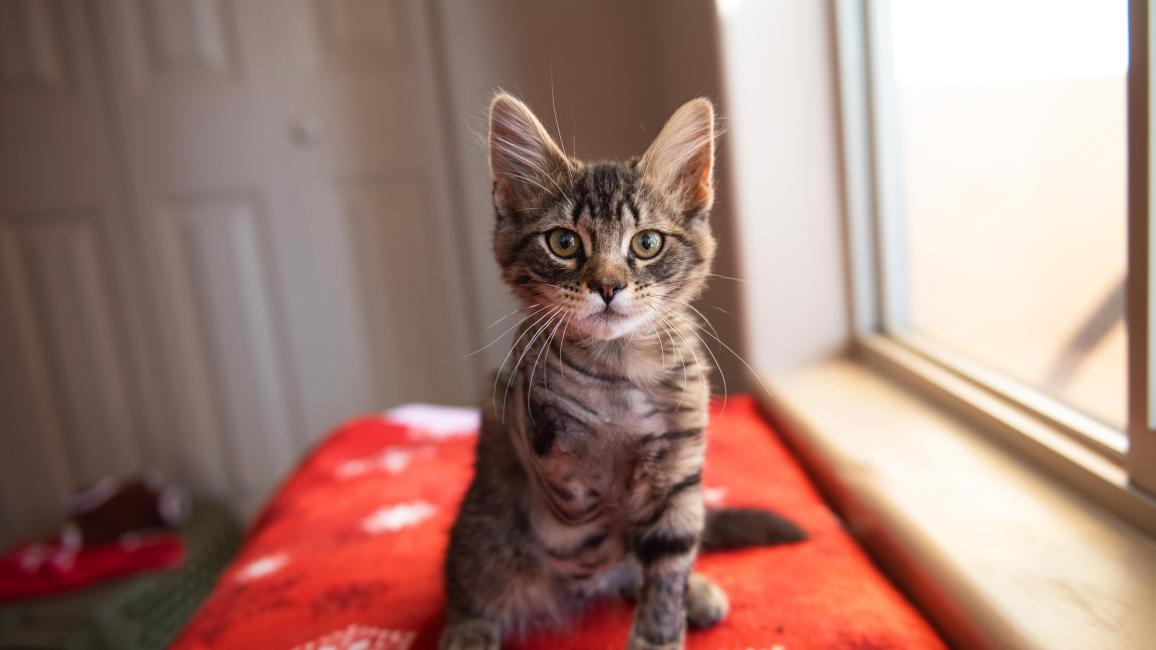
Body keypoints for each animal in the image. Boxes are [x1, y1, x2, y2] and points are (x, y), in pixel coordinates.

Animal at [436, 92, 809, 647]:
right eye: (564, 243)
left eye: (646, 243)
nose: (608, 286)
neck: (620, 373)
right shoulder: (540, 446)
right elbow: (568, 447)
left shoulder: (680, 473)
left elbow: (667, 567)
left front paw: (660, 631)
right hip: (484, 535)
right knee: (468, 588)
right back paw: (467, 630)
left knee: (636, 571)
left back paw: (694, 591)